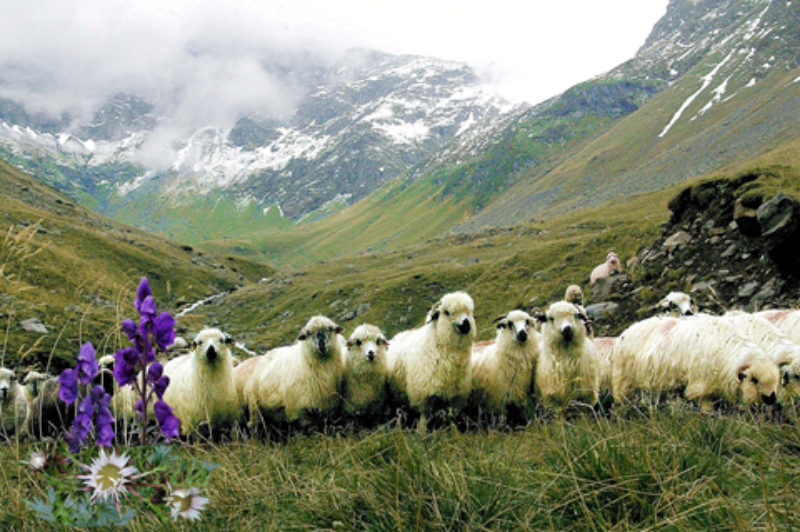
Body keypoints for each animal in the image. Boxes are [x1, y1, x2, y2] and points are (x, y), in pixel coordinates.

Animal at [386, 290, 476, 432]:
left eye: (469, 311)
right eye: (447, 312)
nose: (466, 324)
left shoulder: (455, 397)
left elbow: (450, 418)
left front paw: (454, 431)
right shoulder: (422, 395)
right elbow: (424, 417)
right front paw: (421, 432)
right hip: (397, 396)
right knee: (400, 413)